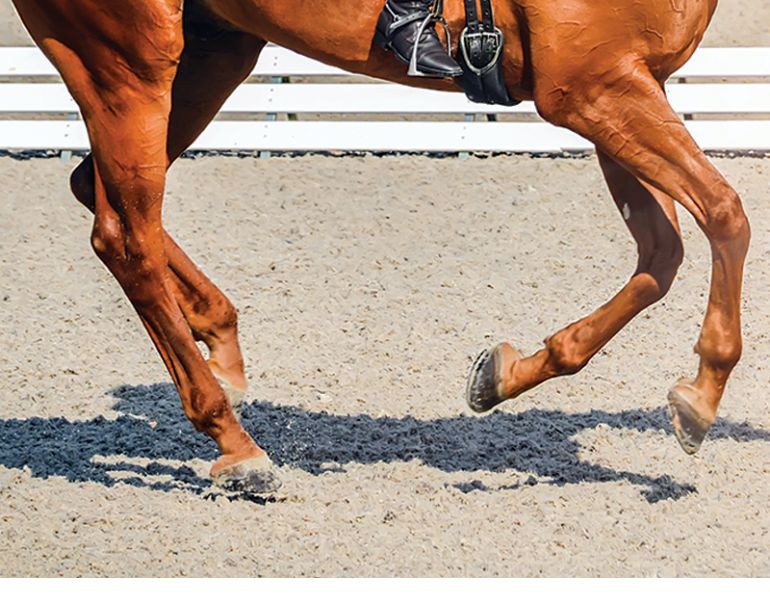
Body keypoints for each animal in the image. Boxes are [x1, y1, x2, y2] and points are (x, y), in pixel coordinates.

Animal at [10, 0, 749, 494]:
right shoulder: (592, 88)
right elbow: (726, 215)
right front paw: (702, 397)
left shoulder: (620, 87)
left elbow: (662, 256)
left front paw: (504, 374)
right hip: (130, 57)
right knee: (124, 236)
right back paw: (235, 441)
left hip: (213, 49)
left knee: (96, 192)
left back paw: (218, 341)